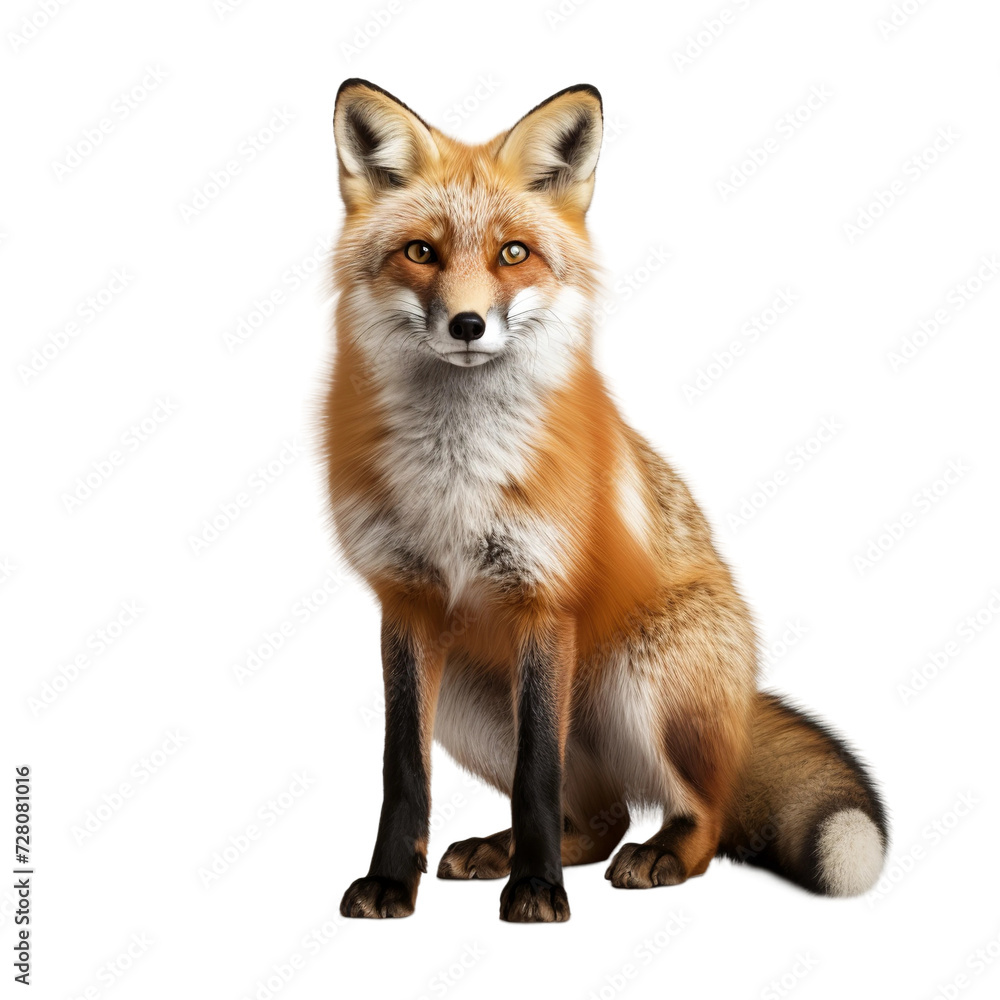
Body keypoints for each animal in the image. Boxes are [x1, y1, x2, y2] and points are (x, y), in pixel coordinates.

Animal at [323, 79, 888, 923]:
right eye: (420, 252)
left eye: (513, 253)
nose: (467, 324)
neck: (456, 475)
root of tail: (743, 696)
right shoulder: (408, 601)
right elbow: (403, 772)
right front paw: (392, 882)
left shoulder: (545, 601)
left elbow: (537, 775)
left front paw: (537, 892)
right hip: (467, 701)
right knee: (600, 814)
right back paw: (505, 851)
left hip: (643, 688)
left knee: (698, 816)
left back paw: (658, 854)